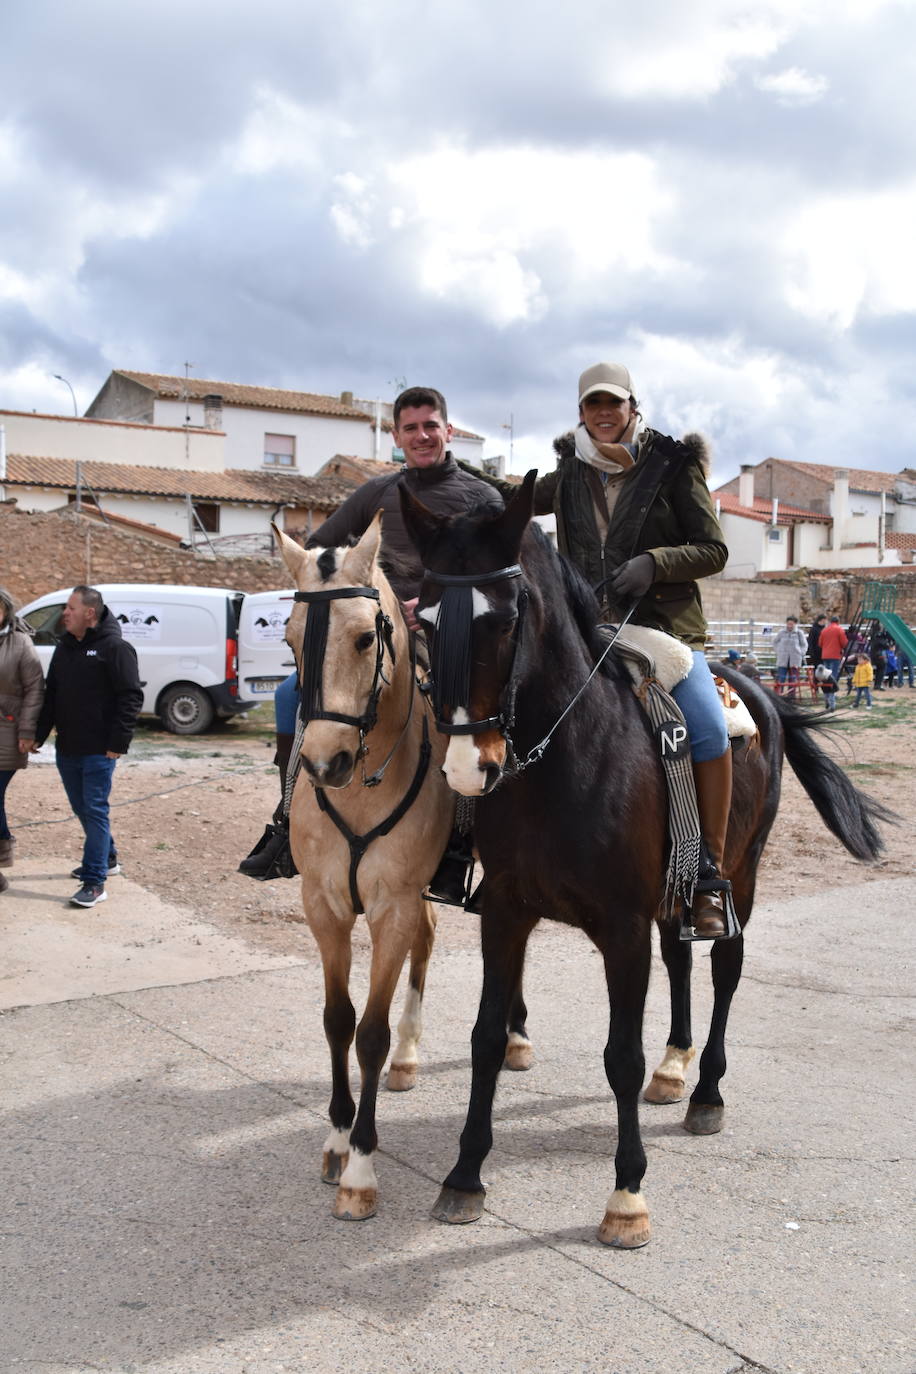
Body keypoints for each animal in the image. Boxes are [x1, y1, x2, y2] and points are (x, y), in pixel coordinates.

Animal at [274, 516, 455, 1225]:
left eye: (362, 636)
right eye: (292, 639)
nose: (326, 764)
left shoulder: (391, 907)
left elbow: (369, 1034)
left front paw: (361, 1169)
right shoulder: (323, 905)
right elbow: (336, 1020)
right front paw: (334, 1138)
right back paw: (409, 1058)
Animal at [401, 469, 889, 1247]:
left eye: (504, 621)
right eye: (424, 622)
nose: (468, 768)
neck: (564, 759)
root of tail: (758, 690)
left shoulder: (621, 929)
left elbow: (619, 1058)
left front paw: (626, 1194)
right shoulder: (506, 913)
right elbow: (485, 1039)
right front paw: (465, 1174)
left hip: (738, 877)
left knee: (723, 971)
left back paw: (706, 1089)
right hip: (672, 895)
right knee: (682, 959)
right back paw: (674, 1067)